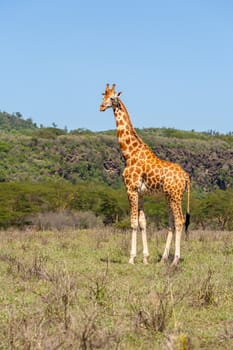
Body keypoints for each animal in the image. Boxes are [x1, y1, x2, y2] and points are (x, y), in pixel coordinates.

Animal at [99, 84, 190, 266]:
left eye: (113, 98)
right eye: (103, 95)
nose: (102, 107)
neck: (129, 153)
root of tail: (186, 177)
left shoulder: (130, 189)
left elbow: (133, 223)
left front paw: (132, 258)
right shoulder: (140, 192)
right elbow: (143, 222)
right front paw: (146, 258)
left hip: (175, 196)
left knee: (179, 221)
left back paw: (175, 260)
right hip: (169, 197)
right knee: (171, 222)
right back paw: (163, 259)